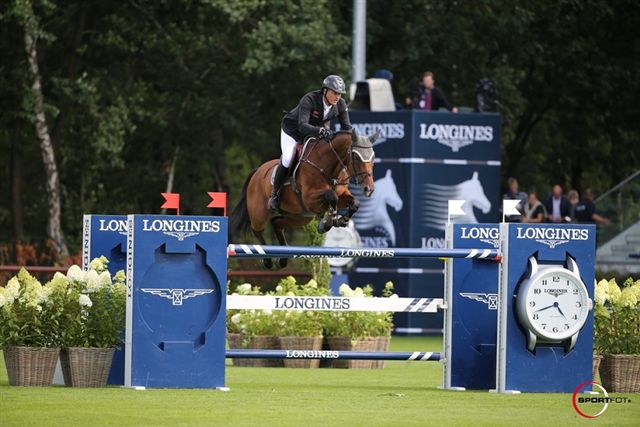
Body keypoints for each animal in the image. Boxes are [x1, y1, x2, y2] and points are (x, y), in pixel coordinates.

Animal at [230, 132, 378, 270]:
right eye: (356, 157)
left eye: (373, 158)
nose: (368, 189)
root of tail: (257, 171)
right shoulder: (309, 198)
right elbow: (331, 196)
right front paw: (327, 223)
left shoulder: (341, 194)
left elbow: (354, 203)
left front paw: (341, 220)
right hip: (259, 212)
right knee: (257, 229)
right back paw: (267, 260)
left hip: (301, 217)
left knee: (277, 223)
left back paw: (283, 259)